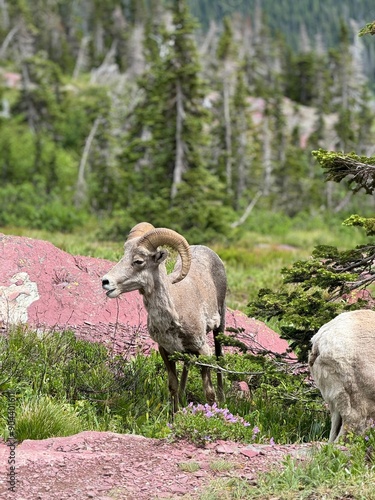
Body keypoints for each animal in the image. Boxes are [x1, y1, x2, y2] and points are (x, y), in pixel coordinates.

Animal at [101, 223, 228, 410]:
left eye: (138, 261)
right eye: (124, 255)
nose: (105, 282)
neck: (172, 319)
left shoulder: (204, 351)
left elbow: (209, 394)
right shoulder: (166, 351)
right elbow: (172, 386)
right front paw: (176, 414)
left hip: (219, 328)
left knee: (220, 358)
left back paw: (222, 396)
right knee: (187, 366)